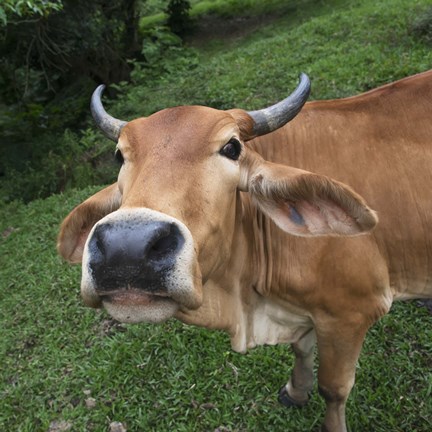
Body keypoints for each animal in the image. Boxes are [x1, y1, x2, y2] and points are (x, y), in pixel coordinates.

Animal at [57, 69, 432, 430]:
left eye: (232, 147)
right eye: (120, 155)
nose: (127, 249)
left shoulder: (350, 314)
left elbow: (334, 389)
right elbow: (300, 349)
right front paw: (297, 390)